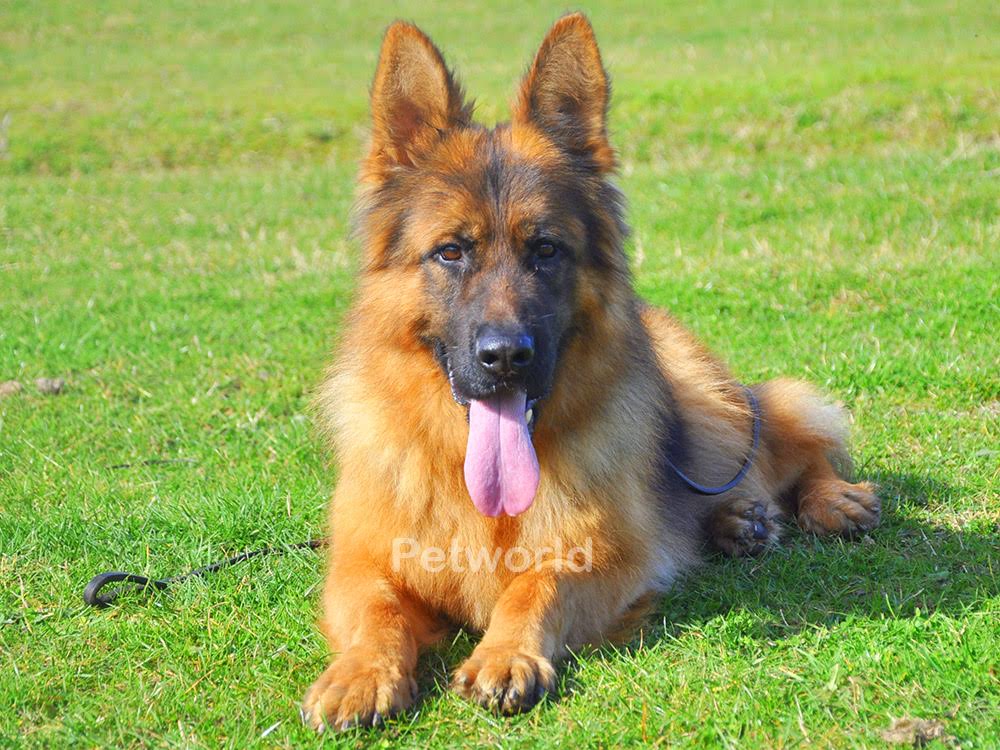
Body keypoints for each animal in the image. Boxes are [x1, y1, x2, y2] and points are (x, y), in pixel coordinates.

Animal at [302, 13, 880, 730]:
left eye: (546, 249)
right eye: (451, 252)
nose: (505, 357)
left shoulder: (610, 557)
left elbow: (536, 583)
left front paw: (506, 653)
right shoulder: (359, 563)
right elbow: (377, 610)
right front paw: (360, 673)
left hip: (709, 407)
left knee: (788, 441)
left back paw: (827, 498)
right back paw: (735, 523)